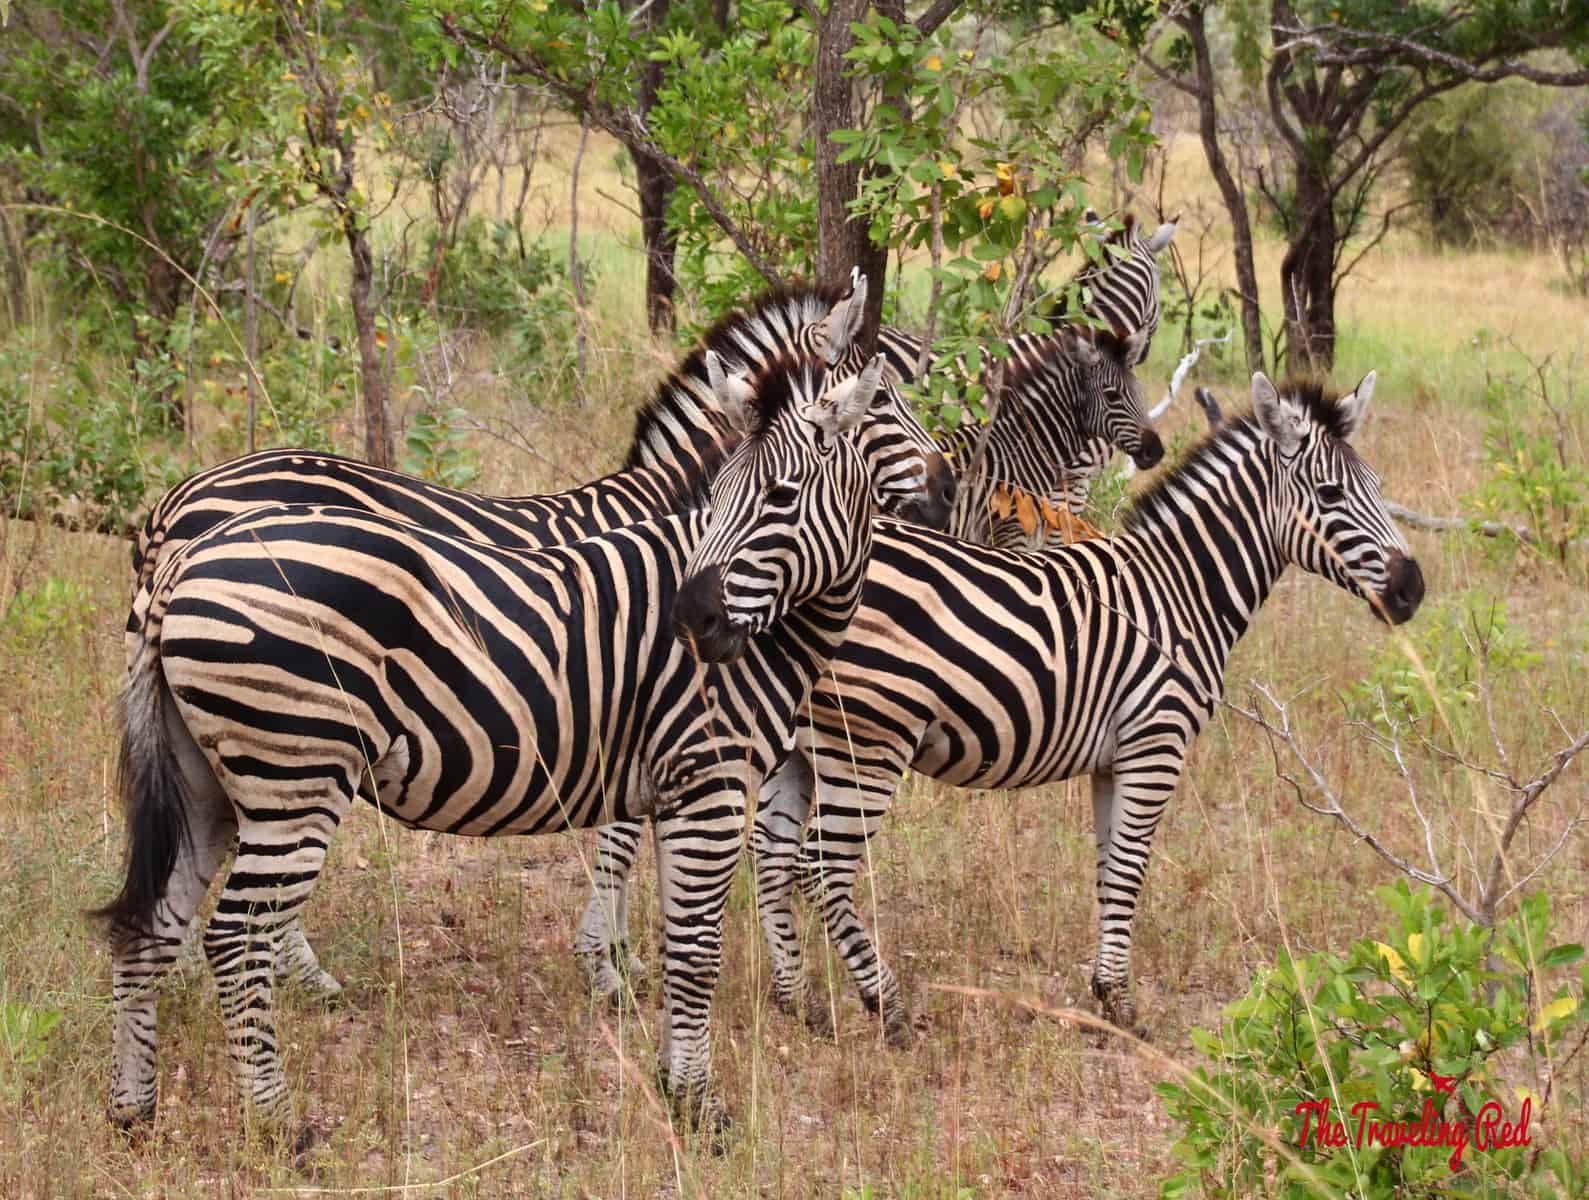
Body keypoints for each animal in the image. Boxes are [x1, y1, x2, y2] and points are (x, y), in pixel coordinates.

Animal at [97, 348, 894, 1138]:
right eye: (721, 493)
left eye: (781, 497)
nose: (690, 620)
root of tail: (181, 556)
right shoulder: (709, 780)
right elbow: (696, 948)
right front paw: (699, 1106)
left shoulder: (671, 786)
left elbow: (673, 936)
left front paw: (670, 1080)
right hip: (294, 776)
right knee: (234, 940)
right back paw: (279, 1125)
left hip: (207, 785)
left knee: (152, 927)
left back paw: (134, 1111)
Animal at [741, 371, 1425, 1043]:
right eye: (1331, 494)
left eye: (1378, 488)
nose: (1412, 591)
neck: (1183, 592)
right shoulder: (1156, 745)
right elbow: (1129, 869)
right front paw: (1121, 1005)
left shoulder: (1112, 760)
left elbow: (1107, 869)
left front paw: (1104, 990)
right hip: (869, 740)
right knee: (820, 869)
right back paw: (890, 1009)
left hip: (799, 744)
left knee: (771, 859)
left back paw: (798, 1004)